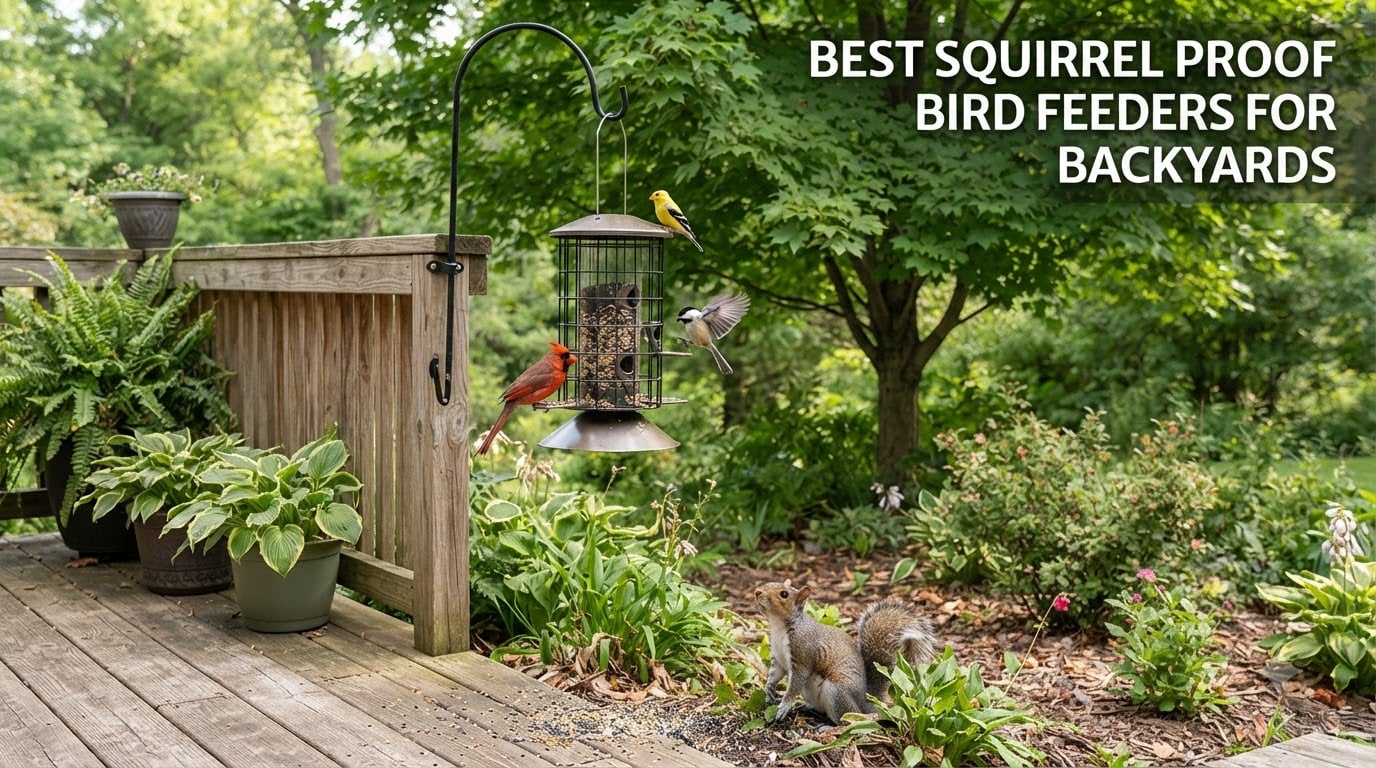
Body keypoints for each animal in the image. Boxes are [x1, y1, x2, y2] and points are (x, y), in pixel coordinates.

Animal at [755, 579, 938, 725]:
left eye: (784, 594)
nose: (757, 592)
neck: (779, 627)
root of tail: (865, 702)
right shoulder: (778, 659)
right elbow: (774, 675)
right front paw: (769, 691)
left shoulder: (803, 655)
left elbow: (795, 684)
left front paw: (784, 706)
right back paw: (805, 705)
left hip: (837, 692)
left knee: (851, 718)